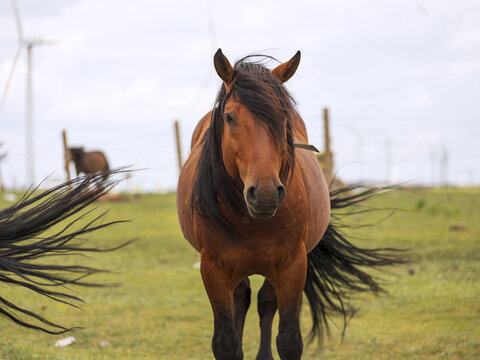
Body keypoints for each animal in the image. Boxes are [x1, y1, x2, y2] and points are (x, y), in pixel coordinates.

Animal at [177, 48, 404, 360]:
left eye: (283, 119)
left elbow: (288, 340)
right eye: (229, 116)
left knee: (265, 301)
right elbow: (225, 342)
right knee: (243, 297)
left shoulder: (293, 267)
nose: (265, 193)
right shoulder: (213, 269)